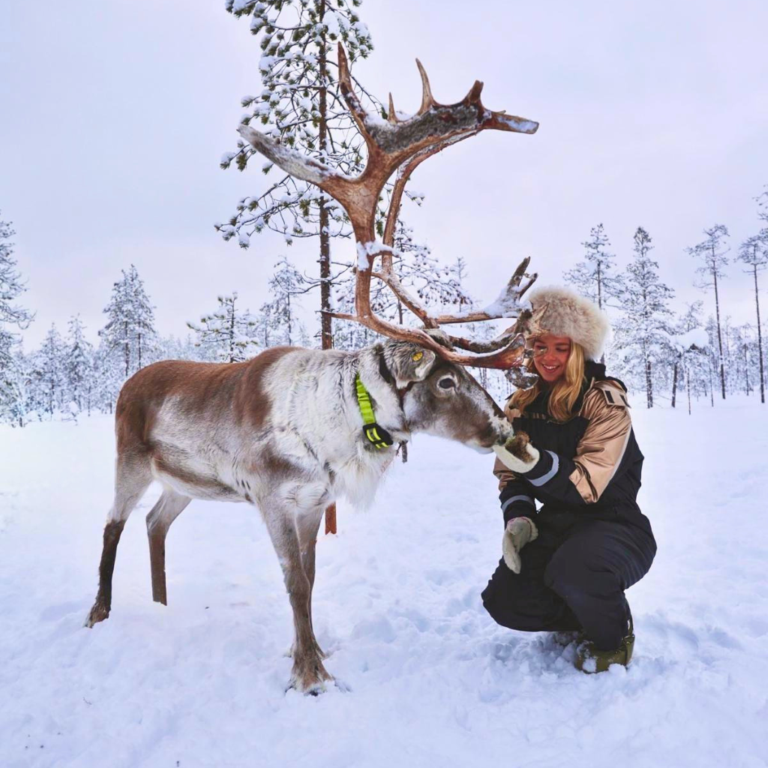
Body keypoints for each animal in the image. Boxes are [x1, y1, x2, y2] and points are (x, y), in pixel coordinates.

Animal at [85, 45, 540, 694]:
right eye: (446, 379)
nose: (505, 431)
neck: (337, 425)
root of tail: (128, 380)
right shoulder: (274, 498)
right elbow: (295, 582)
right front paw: (308, 672)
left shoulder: (311, 503)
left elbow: (312, 580)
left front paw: (314, 652)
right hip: (130, 460)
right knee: (113, 524)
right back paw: (99, 612)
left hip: (184, 483)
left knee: (155, 524)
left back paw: (161, 608)